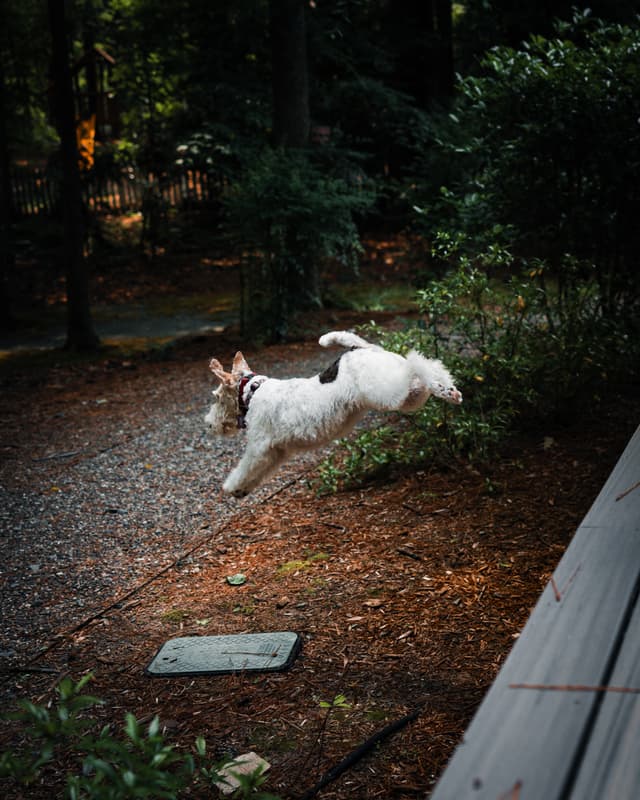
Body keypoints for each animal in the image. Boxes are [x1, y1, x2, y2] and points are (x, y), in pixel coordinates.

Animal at [205, 330, 460, 494]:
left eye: (216, 396)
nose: (209, 424)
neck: (252, 392)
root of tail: (359, 348)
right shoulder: (276, 451)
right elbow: (256, 472)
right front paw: (241, 491)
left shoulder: (259, 446)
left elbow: (244, 467)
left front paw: (229, 487)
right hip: (405, 396)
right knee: (424, 373)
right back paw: (450, 390)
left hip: (387, 390)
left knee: (417, 364)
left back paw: (446, 389)